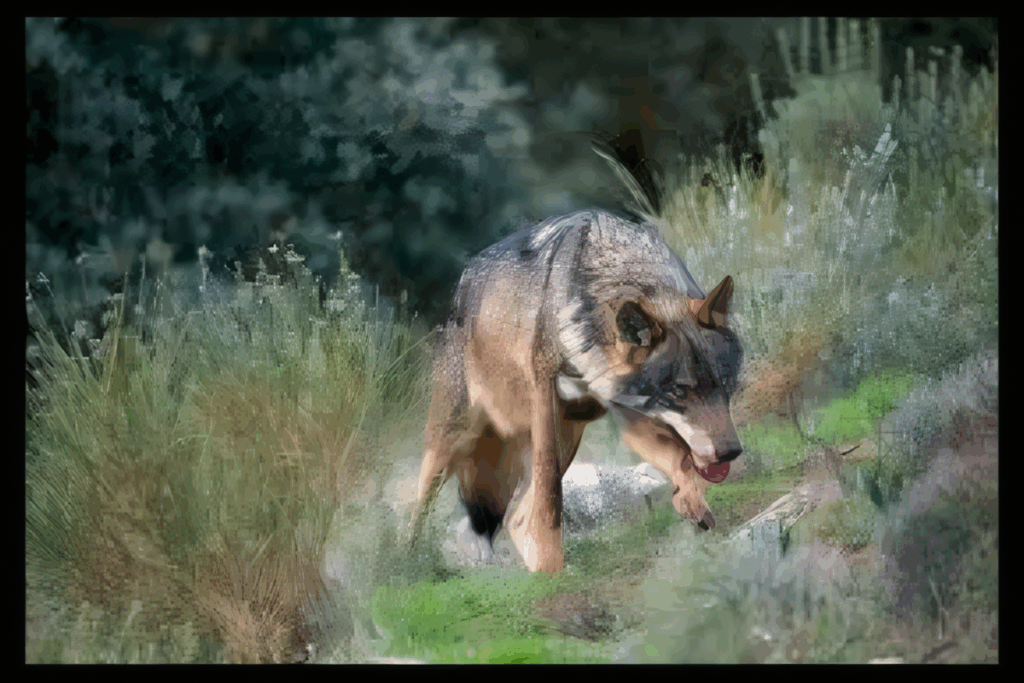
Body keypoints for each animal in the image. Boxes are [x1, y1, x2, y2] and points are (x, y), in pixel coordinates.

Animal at [408, 137, 744, 575]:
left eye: (726, 386)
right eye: (680, 393)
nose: (731, 452)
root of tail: (460, 286)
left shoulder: (629, 410)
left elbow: (681, 458)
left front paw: (692, 503)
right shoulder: (546, 404)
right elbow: (551, 499)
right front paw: (553, 569)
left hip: (570, 431)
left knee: (514, 516)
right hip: (455, 438)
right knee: (423, 504)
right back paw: (404, 564)